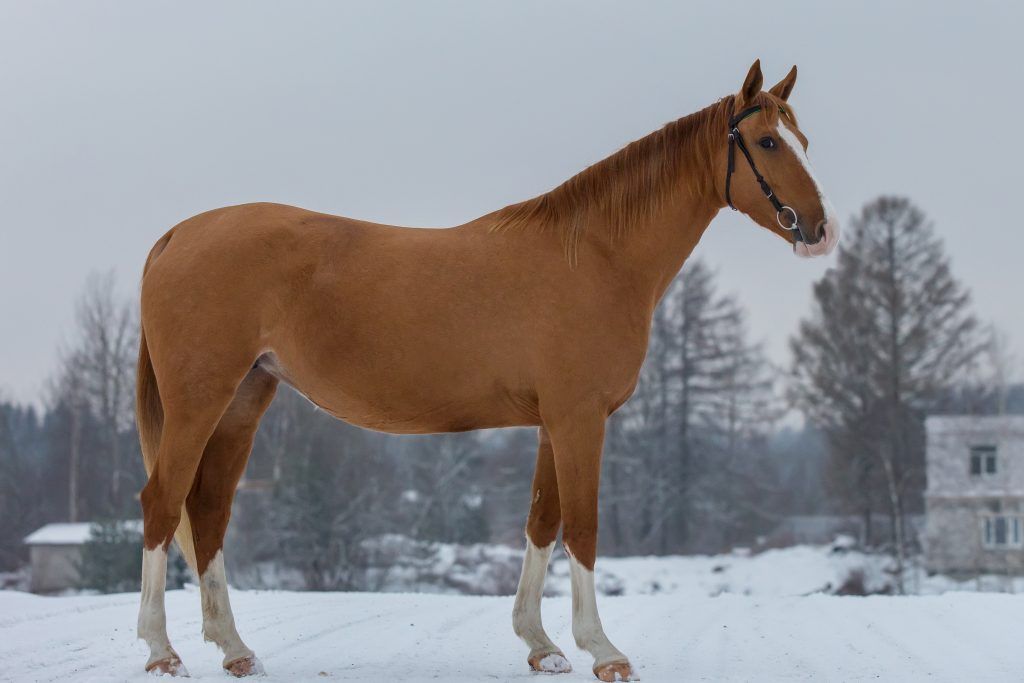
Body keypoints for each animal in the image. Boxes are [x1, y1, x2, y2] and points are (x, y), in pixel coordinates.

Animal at [134, 61, 839, 679]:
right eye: (767, 141)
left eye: (804, 140)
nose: (821, 231)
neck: (596, 256)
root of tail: (176, 236)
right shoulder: (580, 419)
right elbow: (583, 526)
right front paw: (603, 651)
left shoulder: (555, 422)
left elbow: (542, 522)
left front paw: (542, 646)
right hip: (200, 401)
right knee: (162, 502)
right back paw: (162, 652)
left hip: (243, 401)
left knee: (209, 510)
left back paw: (234, 650)